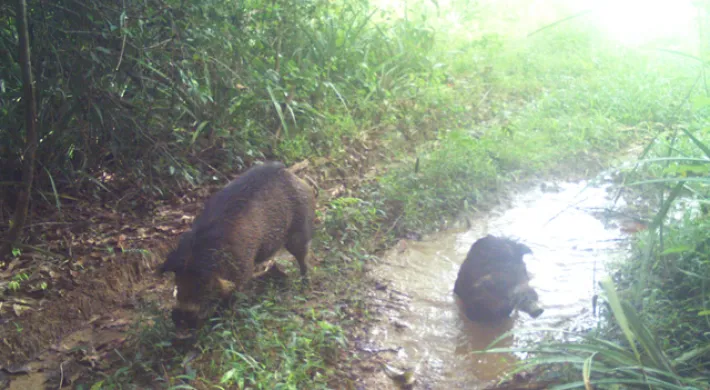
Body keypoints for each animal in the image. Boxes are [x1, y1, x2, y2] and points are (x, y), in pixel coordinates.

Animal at [163, 161, 318, 330]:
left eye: (204, 284)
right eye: (177, 281)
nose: (179, 319)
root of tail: (295, 177)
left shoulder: (243, 267)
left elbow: (233, 294)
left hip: (299, 230)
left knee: (303, 257)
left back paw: (304, 286)